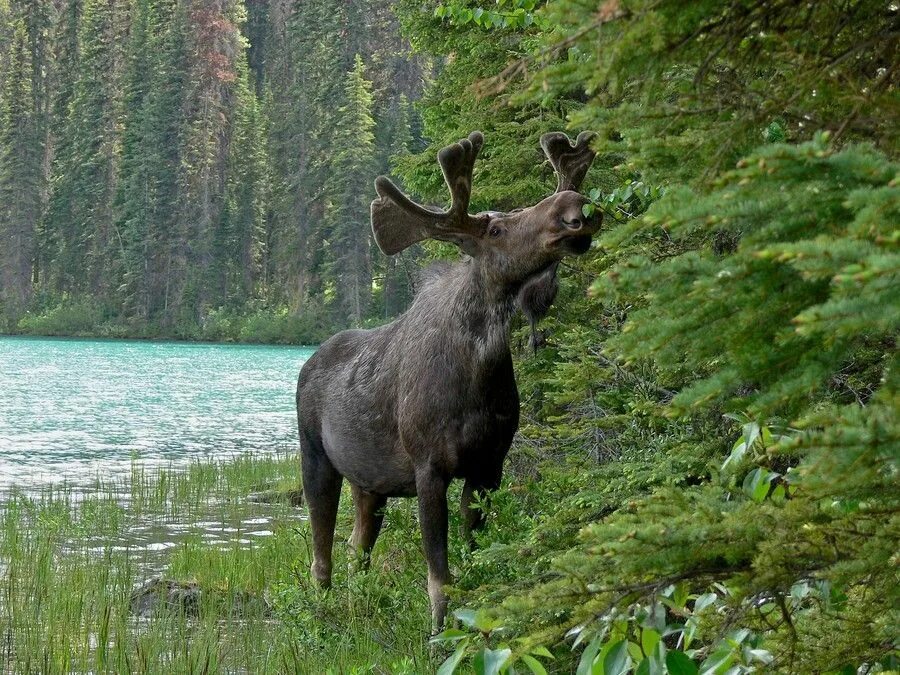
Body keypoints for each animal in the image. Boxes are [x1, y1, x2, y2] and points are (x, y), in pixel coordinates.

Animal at [298, 129, 600, 632]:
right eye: (496, 229)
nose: (573, 206)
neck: (476, 378)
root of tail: (306, 362)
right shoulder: (430, 466)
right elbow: (439, 576)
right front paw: (438, 634)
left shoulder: (489, 466)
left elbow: (474, 557)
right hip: (315, 456)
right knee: (322, 554)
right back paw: (320, 614)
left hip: (369, 482)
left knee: (358, 547)